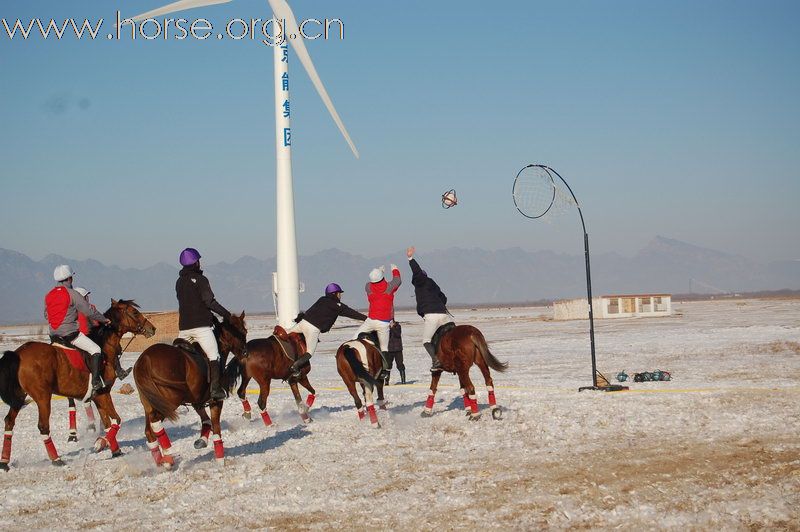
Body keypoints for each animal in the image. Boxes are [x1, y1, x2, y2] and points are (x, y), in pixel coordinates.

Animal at [0, 300, 155, 470]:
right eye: (134, 312)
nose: (152, 328)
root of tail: (18, 353)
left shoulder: (98, 396)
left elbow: (107, 423)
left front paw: (115, 450)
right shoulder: (103, 393)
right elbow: (116, 420)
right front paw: (101, 443)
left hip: (19, 398)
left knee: (9, 422)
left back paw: (4, 462)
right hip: (42, 398)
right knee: (43, 426)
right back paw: (56, 459)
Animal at [134, 314, 247, 468]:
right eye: (243, 332)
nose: (245, 353)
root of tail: (145, 359)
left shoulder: (197, 400)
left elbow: (206, 420)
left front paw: (202, 441)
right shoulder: (216, 401)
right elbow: (216, 427)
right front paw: (220, 460)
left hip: (150, 403)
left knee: (149, 431)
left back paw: (161, 461)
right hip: (169, 402)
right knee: (155, 423)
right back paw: (168, 457)